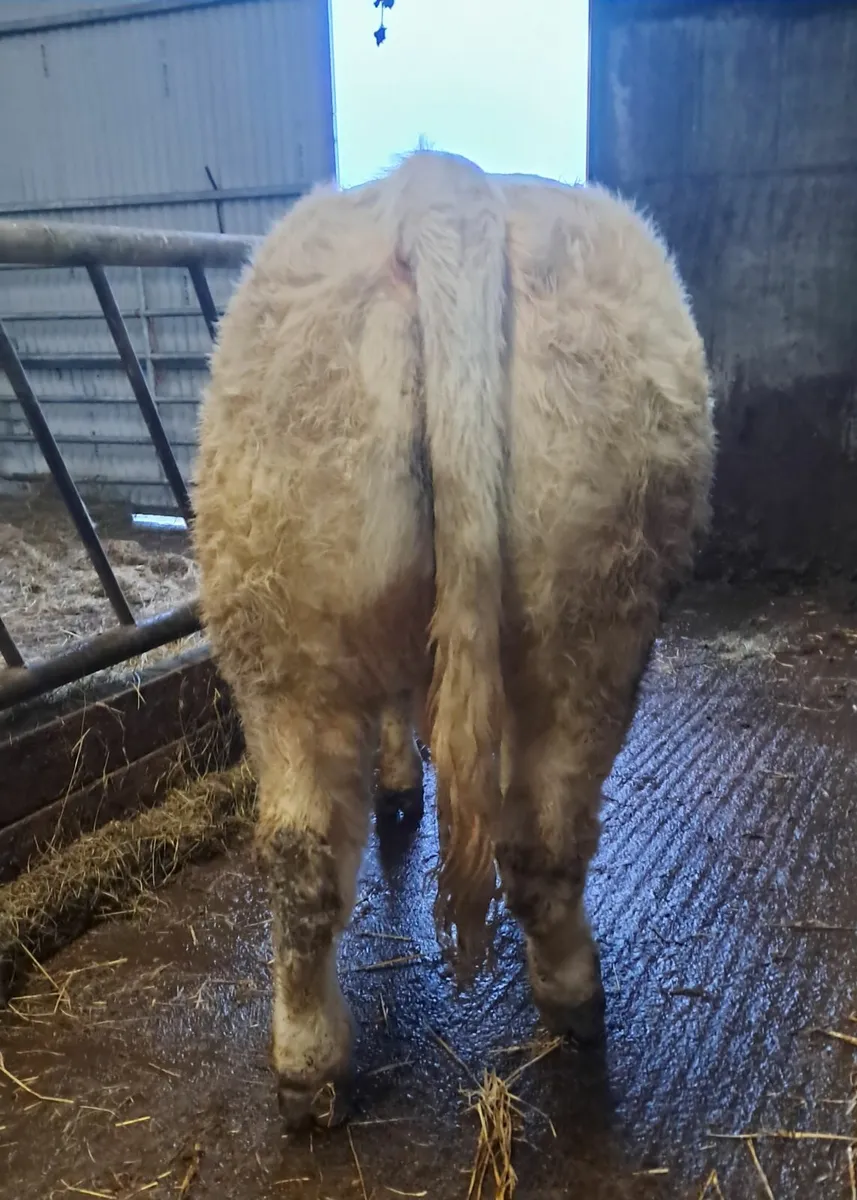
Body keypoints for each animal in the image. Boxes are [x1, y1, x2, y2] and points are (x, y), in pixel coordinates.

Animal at [192, 150, 715, 1129]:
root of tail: (440, 188)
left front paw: (400, 781)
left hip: (278, 627)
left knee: (300, 856)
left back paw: (308, 1069)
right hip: (594, 627)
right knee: (542, 836)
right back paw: (574, 998)